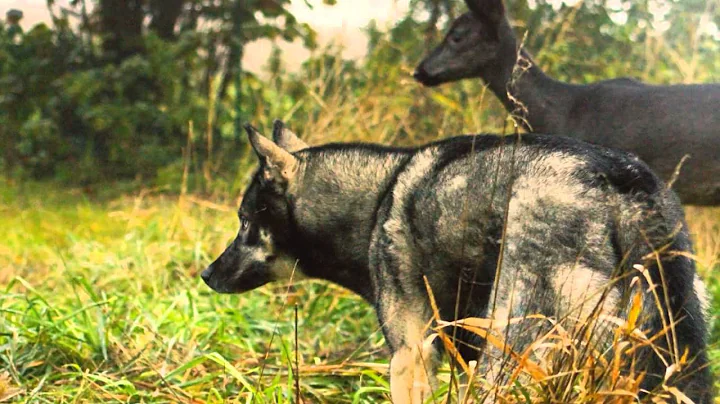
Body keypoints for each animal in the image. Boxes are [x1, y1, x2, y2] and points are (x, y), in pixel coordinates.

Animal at [200, 120, 712, 404]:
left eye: (244, 222)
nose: (206, 275)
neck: (375, 200)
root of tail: (618, 182)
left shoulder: (411, 355)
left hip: (509, 357)